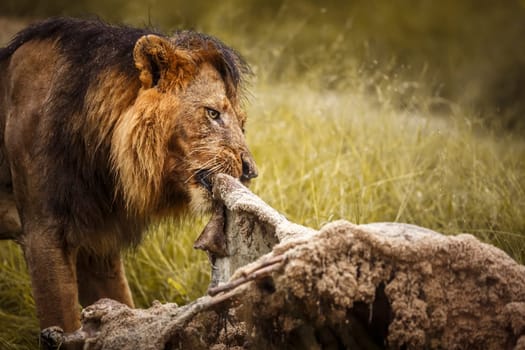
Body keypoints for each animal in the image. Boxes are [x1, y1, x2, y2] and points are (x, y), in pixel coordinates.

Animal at [0, 17, 256, 334]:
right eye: (212, 113)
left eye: (242, 125)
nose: (251, 171)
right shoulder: (42, 233)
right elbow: (63, 321)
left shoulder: (97, 244)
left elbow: (118, 306)